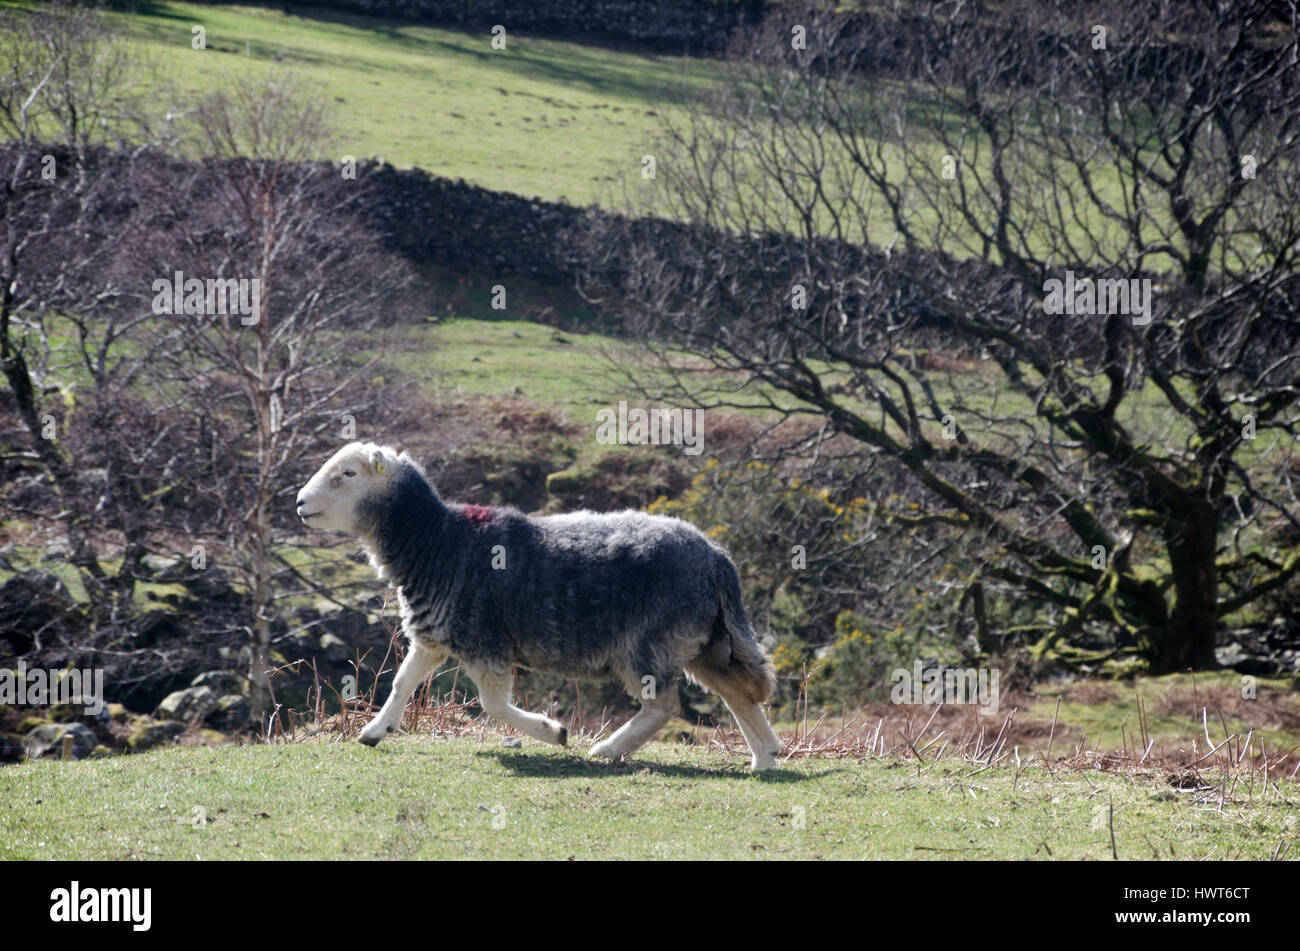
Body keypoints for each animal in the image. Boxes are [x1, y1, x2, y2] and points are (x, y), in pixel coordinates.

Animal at [296, 441, 780, 769]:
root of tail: (717, 557)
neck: (436, 542)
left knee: (665, 706)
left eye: (349, 473)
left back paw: (609, 748)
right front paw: (375, 730)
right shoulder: (434, 635)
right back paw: (765, 756)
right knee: (736, 691)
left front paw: (553, 732)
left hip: (652, 639)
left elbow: (493, 705)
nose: (300, 503)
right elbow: (402, 683)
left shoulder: (485, 642)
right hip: (703, 639)